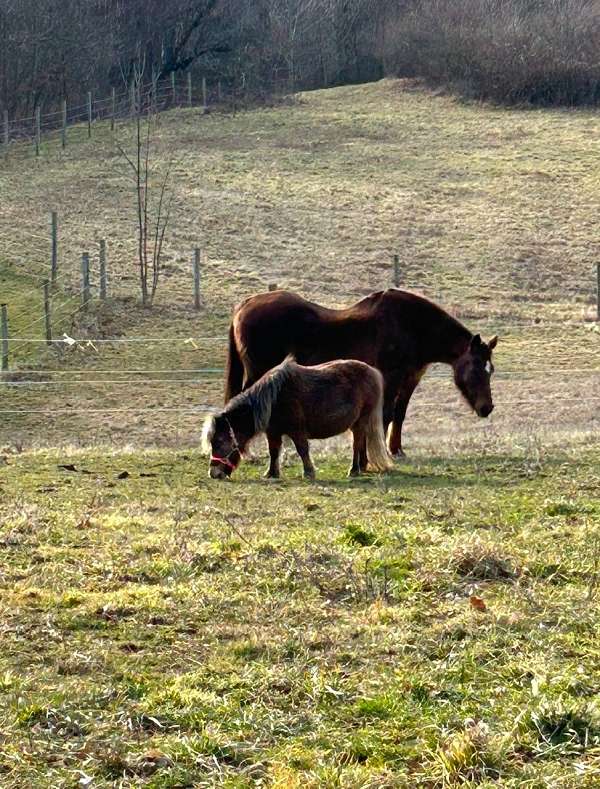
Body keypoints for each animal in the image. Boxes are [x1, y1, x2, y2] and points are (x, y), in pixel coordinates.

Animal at [203, 358, 394, 480]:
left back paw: (354, 470)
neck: (273, 399)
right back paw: (361, 467)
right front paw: (271, 473)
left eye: (220, 441)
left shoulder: (297, 431)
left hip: (361, 421)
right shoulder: (273, 433)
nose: (214, 474)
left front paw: (308, 473)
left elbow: (302, 450)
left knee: (357, 444)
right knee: (361, 444)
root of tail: (372, 372)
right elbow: (273, 452)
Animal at [224, 288, 496, 456]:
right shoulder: (391, 377)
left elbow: (400, 415)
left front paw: (396, 449)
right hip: (259, 371)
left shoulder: (410, 379)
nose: (487, 408)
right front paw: (382, 451)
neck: (412, 326)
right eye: (476, 369)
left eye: (490, 370)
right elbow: (386, 414)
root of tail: (244, 305)